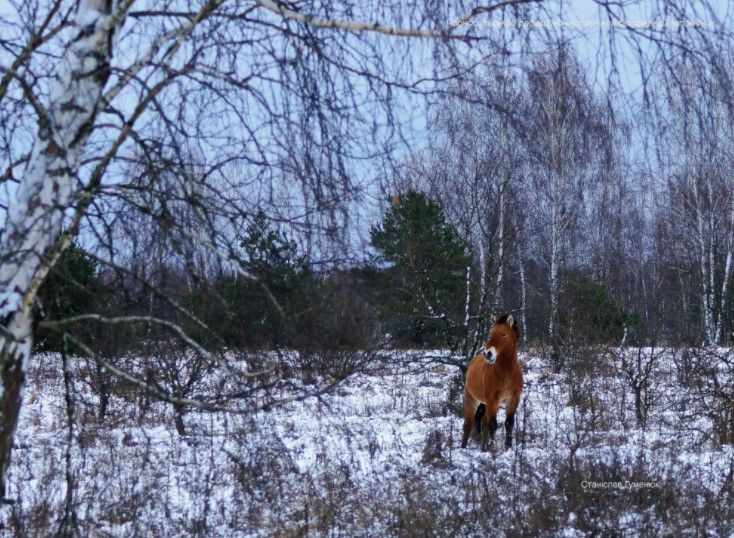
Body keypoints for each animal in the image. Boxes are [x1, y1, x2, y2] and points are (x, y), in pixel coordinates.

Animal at [460, 312, 524, 450]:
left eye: (504, 334)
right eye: (490, 333)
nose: (488, 353)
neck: (506, 375)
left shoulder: (513, 400)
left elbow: (509, 424)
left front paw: (508, 448)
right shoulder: (491, 400)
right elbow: (493, 425)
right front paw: (492, 448)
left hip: (489, 405)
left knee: (484, 423)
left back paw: (483, 448)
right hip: (472, 399)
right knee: (468, 424)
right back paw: (463, 447)